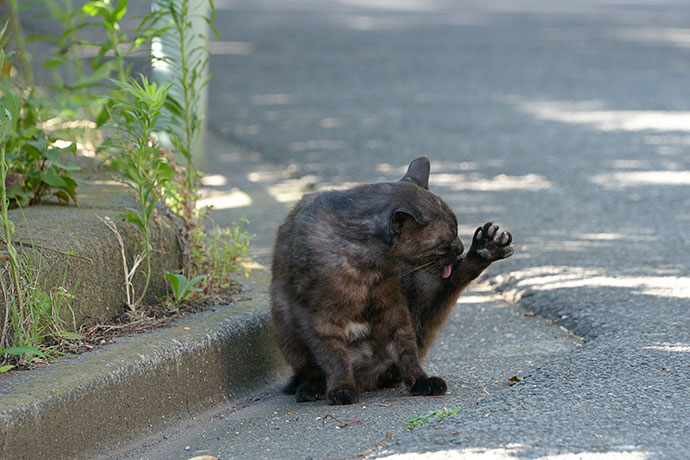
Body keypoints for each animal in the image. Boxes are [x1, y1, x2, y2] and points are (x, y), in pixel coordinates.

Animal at [268, 156, 510, 404]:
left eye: (457, 231)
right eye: (447, 239)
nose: (460, 247)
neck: (366, 268)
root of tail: (367, 377)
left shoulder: (392, 307)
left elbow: (405, 348)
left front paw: (421, 381)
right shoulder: (318, 317)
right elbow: (333, 356)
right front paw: (342, 389)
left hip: (422, 286)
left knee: (450, 284)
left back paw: (487, 247)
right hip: (286, 329)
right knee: (309, 369)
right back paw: (311, 388)